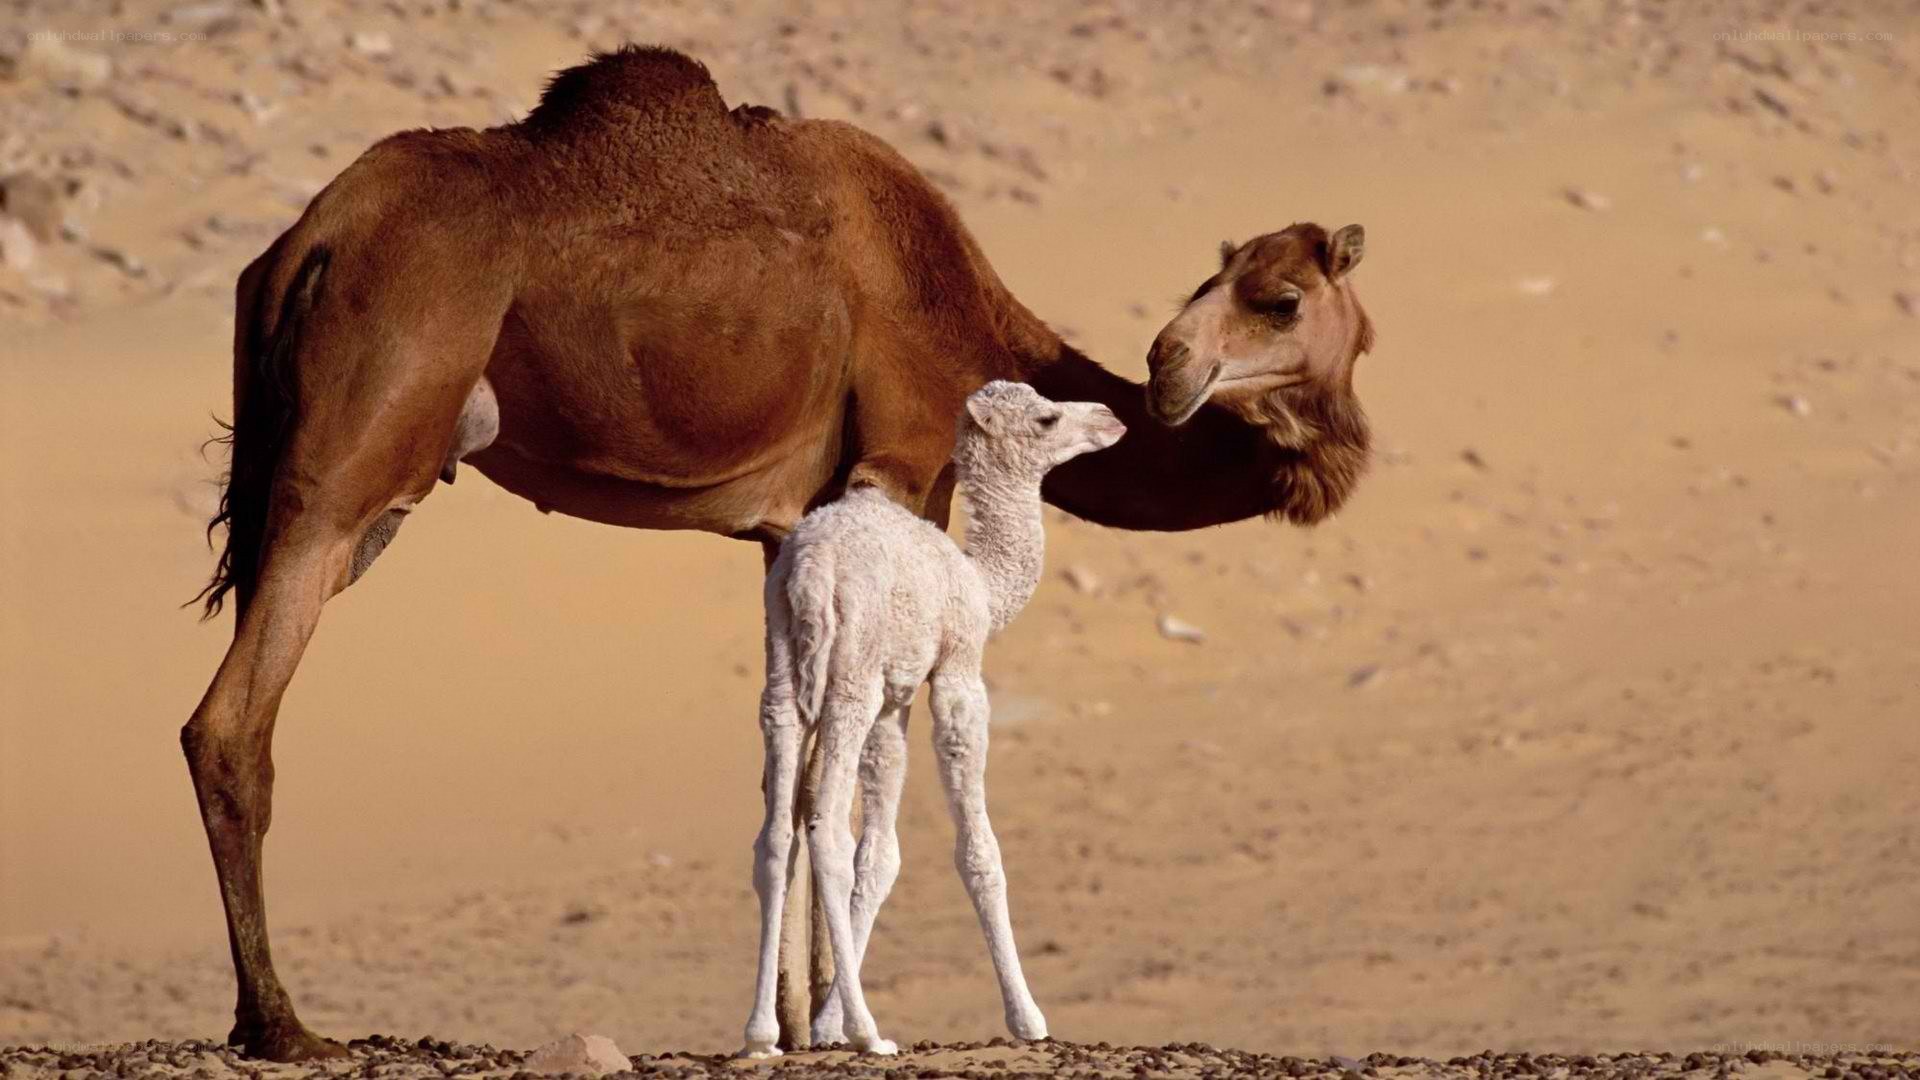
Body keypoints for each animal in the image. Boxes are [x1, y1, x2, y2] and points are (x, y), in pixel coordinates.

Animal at [743, 382, 1125, 1058]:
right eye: (1046, 417)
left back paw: (762, 1033)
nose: (1110, 418)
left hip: (785, 672)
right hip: (850, 677)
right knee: (826, 831)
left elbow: (881, 858)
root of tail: (811, 570)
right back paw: (871, 1034)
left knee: (775, 837)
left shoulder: (894, 701)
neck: (980, 581)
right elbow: (978, 850)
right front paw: (1026, 1017)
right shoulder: (956, 673)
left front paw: (825, 1025)